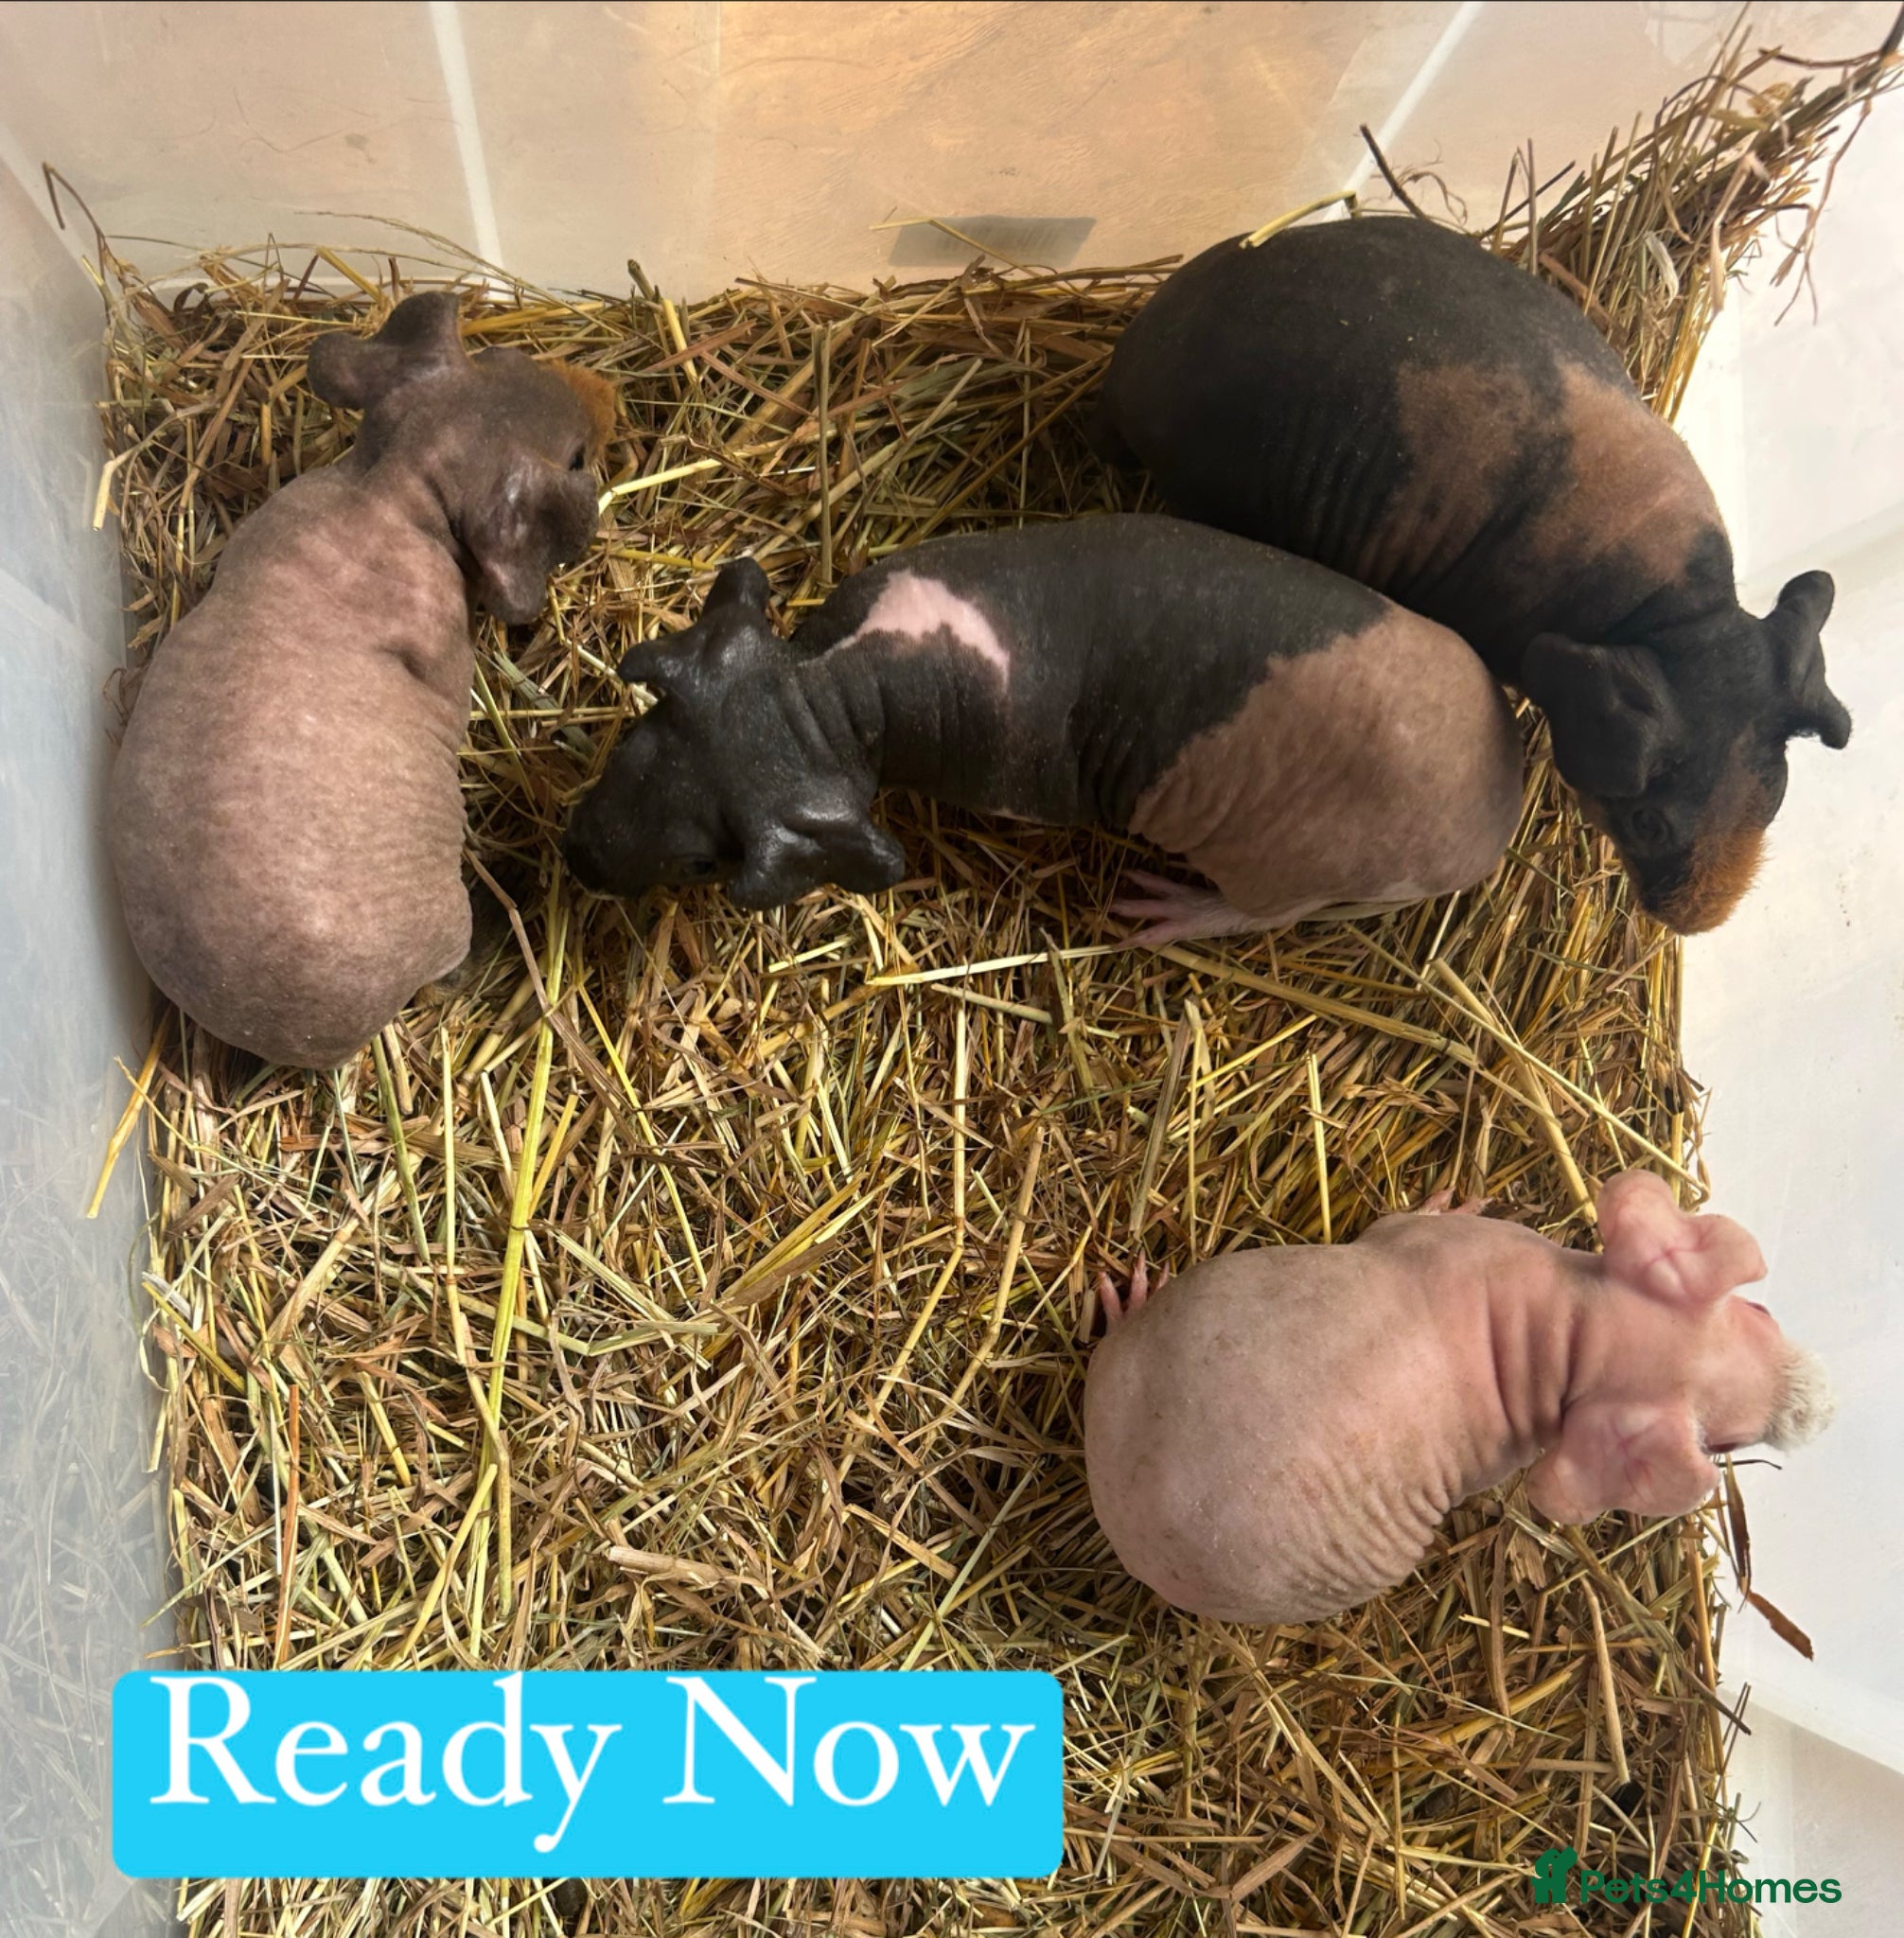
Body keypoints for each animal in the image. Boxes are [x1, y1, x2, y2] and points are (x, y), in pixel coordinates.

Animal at [109, 291, 615, 1068]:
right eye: (578, 458)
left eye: (498, 353)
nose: (598, 402)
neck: (392, 493)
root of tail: (306, 1039)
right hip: (445, 917)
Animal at [562, 514, 1524, 943]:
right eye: (633, 741)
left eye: (700, 864)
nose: (576, 857)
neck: (828, 691)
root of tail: (1496, 818)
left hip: (1295, 866)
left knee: (1262, 912)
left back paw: (1170, 911)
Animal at [1084, 1172, 1833, 1626]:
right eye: (1722, 1444)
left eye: (1760, 1312)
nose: (1823, 1409)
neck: (1572, 1333)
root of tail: (1120, 1513)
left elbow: (1398, 1222)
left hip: (1130, 1360)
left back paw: (1130, 1299)